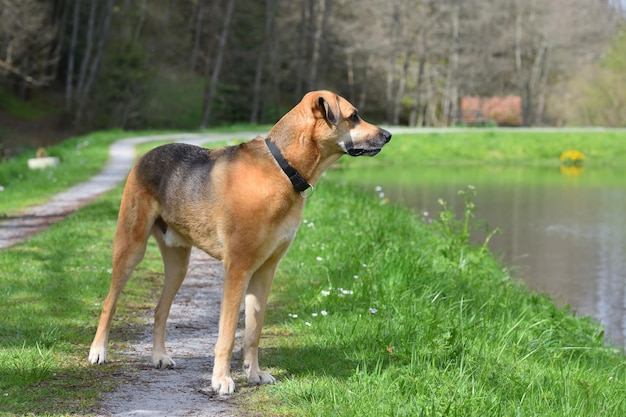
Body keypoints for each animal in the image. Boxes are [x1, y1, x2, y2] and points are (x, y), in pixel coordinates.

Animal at [88, 88, 390, 394]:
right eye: (354, 116)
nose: (388, 135)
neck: (283, 169)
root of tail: (147, 155)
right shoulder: (238, 269)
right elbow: (229, 332)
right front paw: (221, 379)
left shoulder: (265, 271)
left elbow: (254, 331)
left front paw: (253, 373)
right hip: (131, 248)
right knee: (109, 303)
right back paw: (98, 351)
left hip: (178, 264)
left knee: (161, 309)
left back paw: (159, 356)